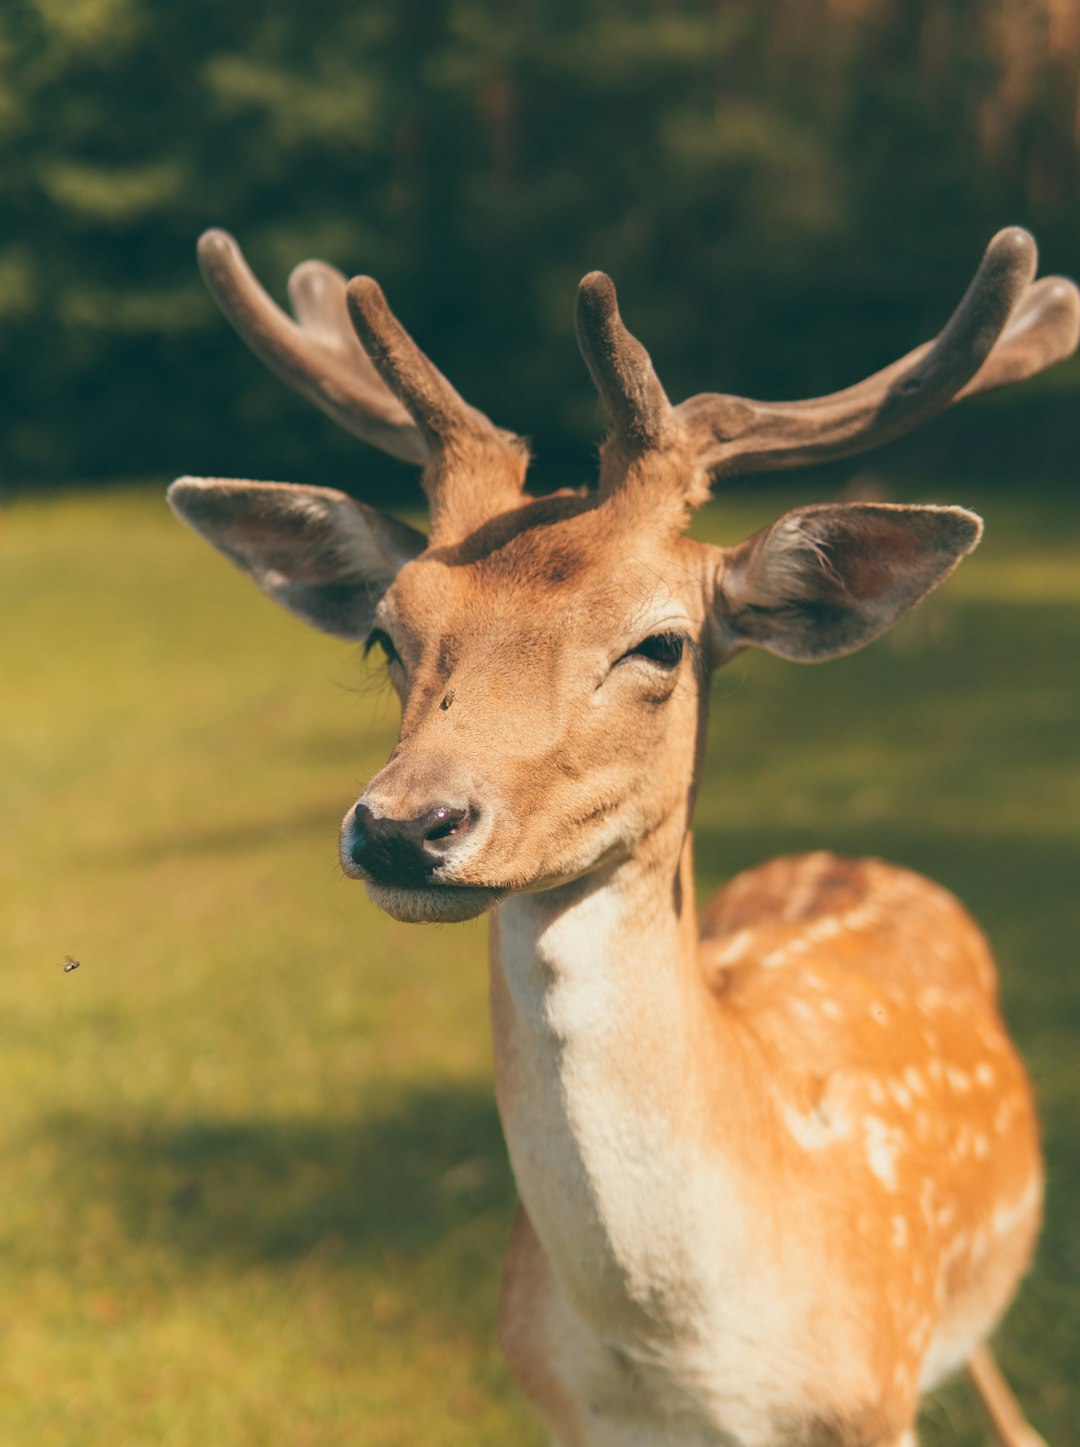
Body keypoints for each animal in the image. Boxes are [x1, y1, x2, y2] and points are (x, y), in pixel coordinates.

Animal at [164, 225, 1071, 1447]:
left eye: (662, 643)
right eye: (385, 634)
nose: (405, 824)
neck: (684, 1362)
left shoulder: (872, 1396)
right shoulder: (561, 1406)